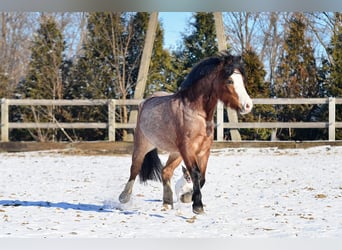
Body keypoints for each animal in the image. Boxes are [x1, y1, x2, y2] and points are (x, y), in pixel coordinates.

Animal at [119, 49, 252, 214]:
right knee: (134, 169)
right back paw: (124, 197)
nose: (248, 105)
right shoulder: (188, 149)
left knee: (166, 171)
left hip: (176, 153)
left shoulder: (203, 151)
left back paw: (167, 202)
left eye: (242, 80)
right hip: (143, 145)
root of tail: (145, 101)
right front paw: (196, 205)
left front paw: (189, 198)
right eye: (230, 81)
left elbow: (202, 177)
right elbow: (195, 173)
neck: (196, 113)